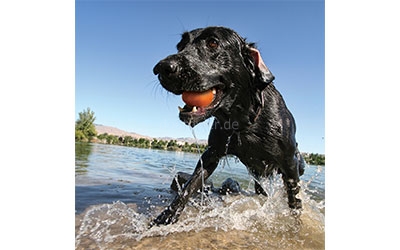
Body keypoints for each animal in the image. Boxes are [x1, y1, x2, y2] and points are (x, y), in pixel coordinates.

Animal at [152, 26, 304, 226]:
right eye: (180, 46)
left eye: (212, 43)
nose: (160, 68)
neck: (244, 122)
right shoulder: (211, 153)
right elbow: (189, 185)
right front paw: (165, 218)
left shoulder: (289, 164)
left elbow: (295, 200)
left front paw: (296, 225)